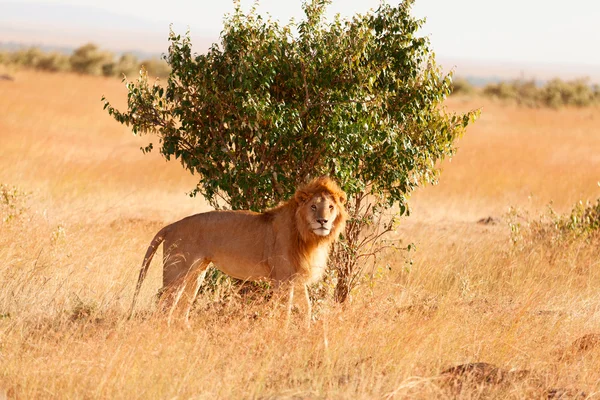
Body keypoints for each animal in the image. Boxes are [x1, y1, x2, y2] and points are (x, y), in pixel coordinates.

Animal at [129, 177, 350, 324]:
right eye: (313, 206)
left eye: (330, 207)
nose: (323, 221)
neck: (308, 236)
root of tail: (171, 225)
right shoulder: (283, 279)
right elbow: (284, 311)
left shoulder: (296, 278)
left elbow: (307, 308)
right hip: (176, 273)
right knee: (164, 307)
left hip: (196, 273)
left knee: (182, 308)